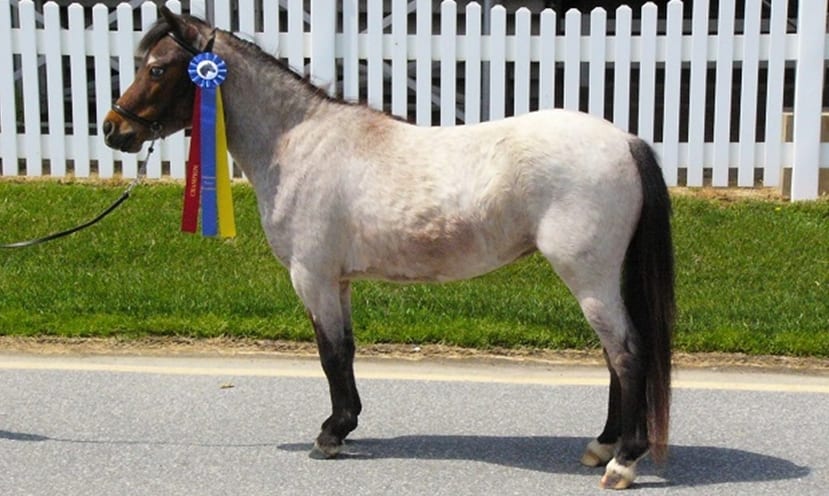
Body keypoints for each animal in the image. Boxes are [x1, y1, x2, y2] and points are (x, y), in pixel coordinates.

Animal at [102, 7, 675, 490]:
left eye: (157, 69)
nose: (114, 128)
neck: (299, 143)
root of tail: (626, 141)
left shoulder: (311, 277)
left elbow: (330, 353)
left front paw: (330, 435)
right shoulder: (338, 280)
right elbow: (347, 350)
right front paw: (345, 423)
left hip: (589, 277)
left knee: (627, 355)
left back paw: (623, 462)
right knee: (614, 357)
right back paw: (601, 447)